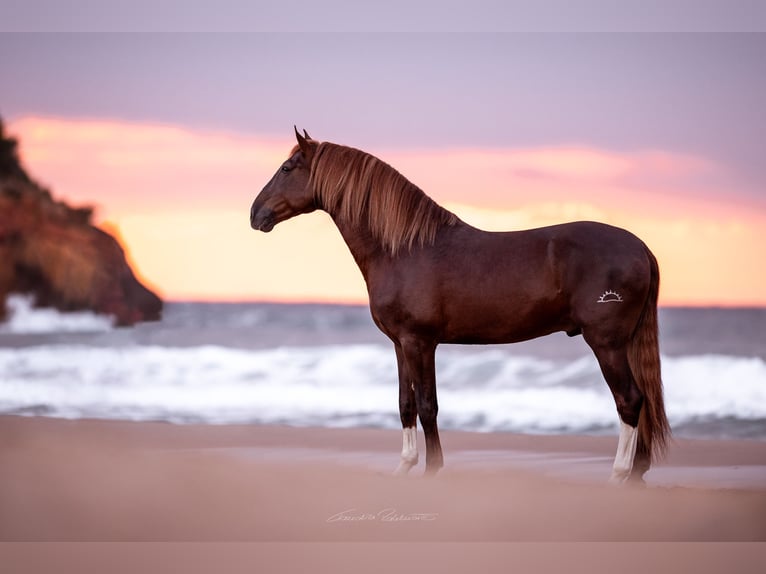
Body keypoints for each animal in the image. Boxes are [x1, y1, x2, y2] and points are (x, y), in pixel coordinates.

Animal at [252, 128, 672, 484]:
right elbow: (405, 404)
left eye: (287, 168)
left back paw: (619, 474)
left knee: (630, 400)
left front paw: (432, 470)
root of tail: (641, 247)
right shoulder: (400, 344)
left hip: (606, 343)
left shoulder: (420, 342)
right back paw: (637, 473)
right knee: (644, 400)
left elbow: (427, 405)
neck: (404, 250)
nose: (256, 214)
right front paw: (404, 466)